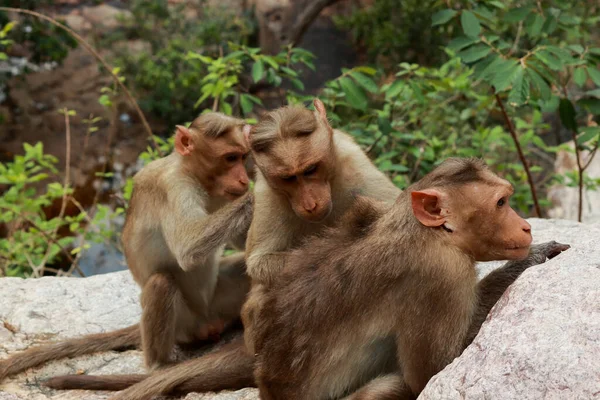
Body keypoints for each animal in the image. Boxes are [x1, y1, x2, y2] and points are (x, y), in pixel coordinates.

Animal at [254, 158, 572, 398]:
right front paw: (526, 262)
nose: (526, 226)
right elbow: (433, 372)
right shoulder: (441, 274)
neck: (427, 232)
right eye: (501, 203)